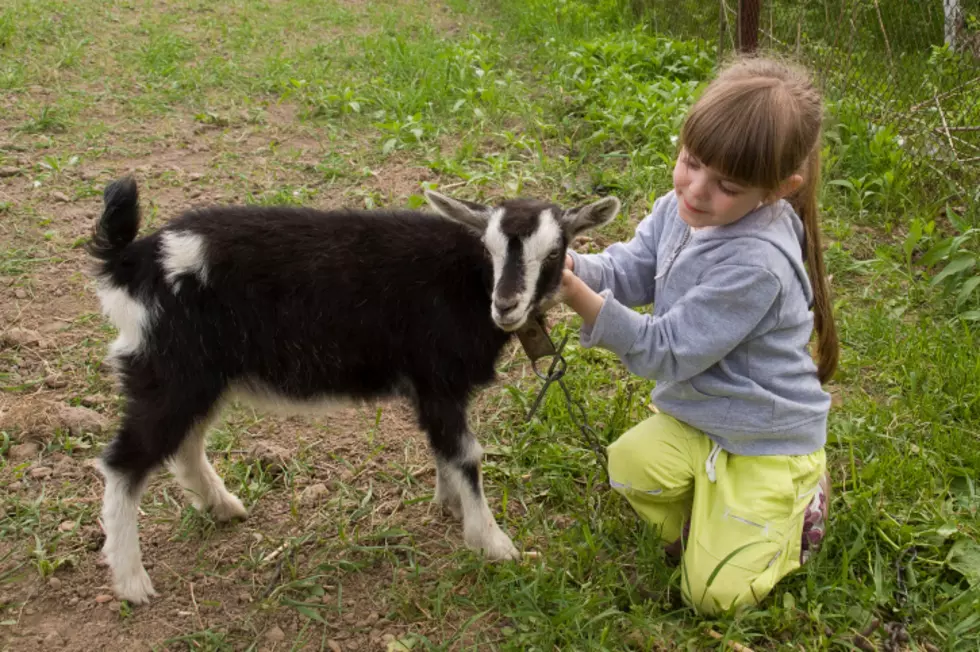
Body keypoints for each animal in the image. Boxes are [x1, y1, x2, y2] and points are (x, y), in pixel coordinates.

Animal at [88, 176, 616, 604]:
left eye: (554, 253)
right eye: (488, 250)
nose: (506, 305)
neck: (466, 283)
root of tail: (132, 260)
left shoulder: (434, 388)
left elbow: (446, 449)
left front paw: (449, 504)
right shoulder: (437, 378)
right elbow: (466, 454)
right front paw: (493, 542)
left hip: (198, 375)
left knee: (185, 444)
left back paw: (221, 507)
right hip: (170, 370)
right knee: (125, 461)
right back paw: (132, 582)